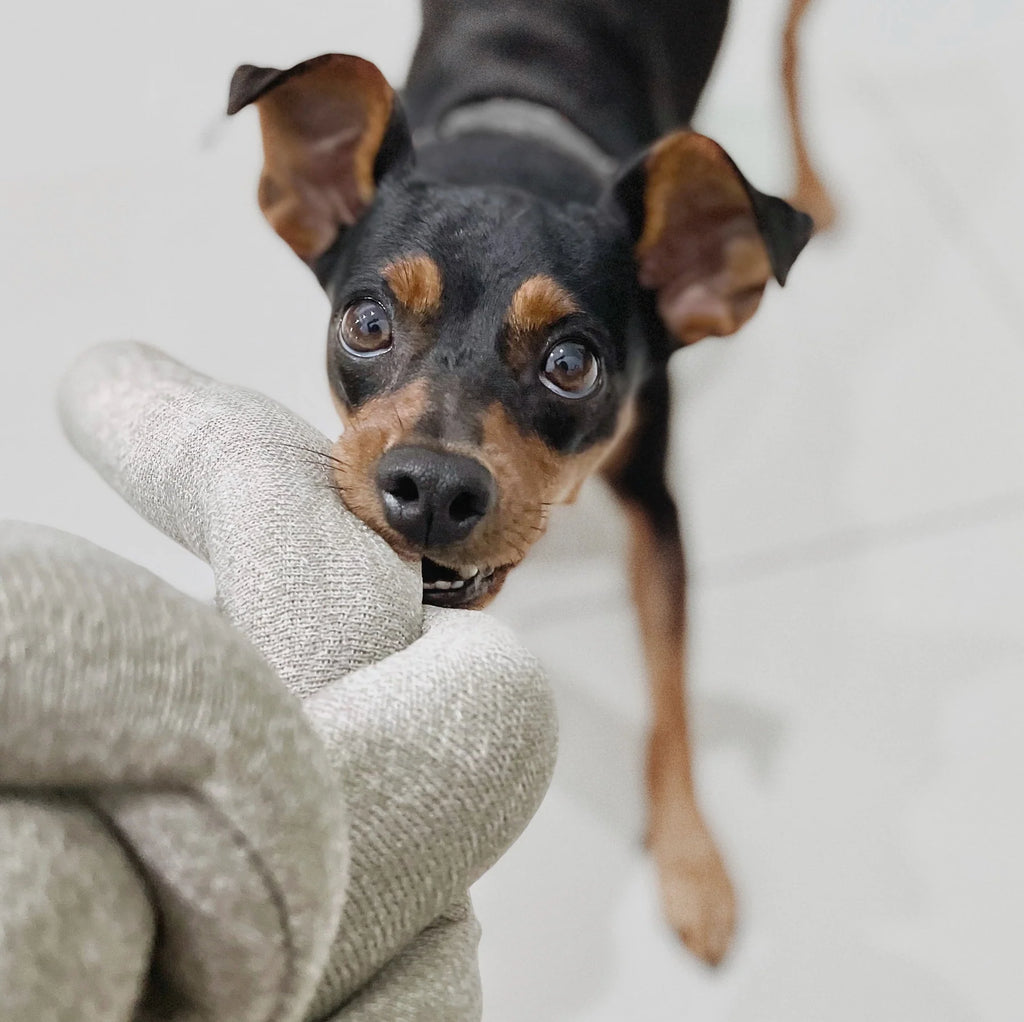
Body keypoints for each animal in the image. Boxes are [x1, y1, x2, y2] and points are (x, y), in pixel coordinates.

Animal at [230, 0, 815, 966]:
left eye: (572, 365)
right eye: (366, 323)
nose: (432, 487)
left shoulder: (656, 501)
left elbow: (671, 690)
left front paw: (692, 864)